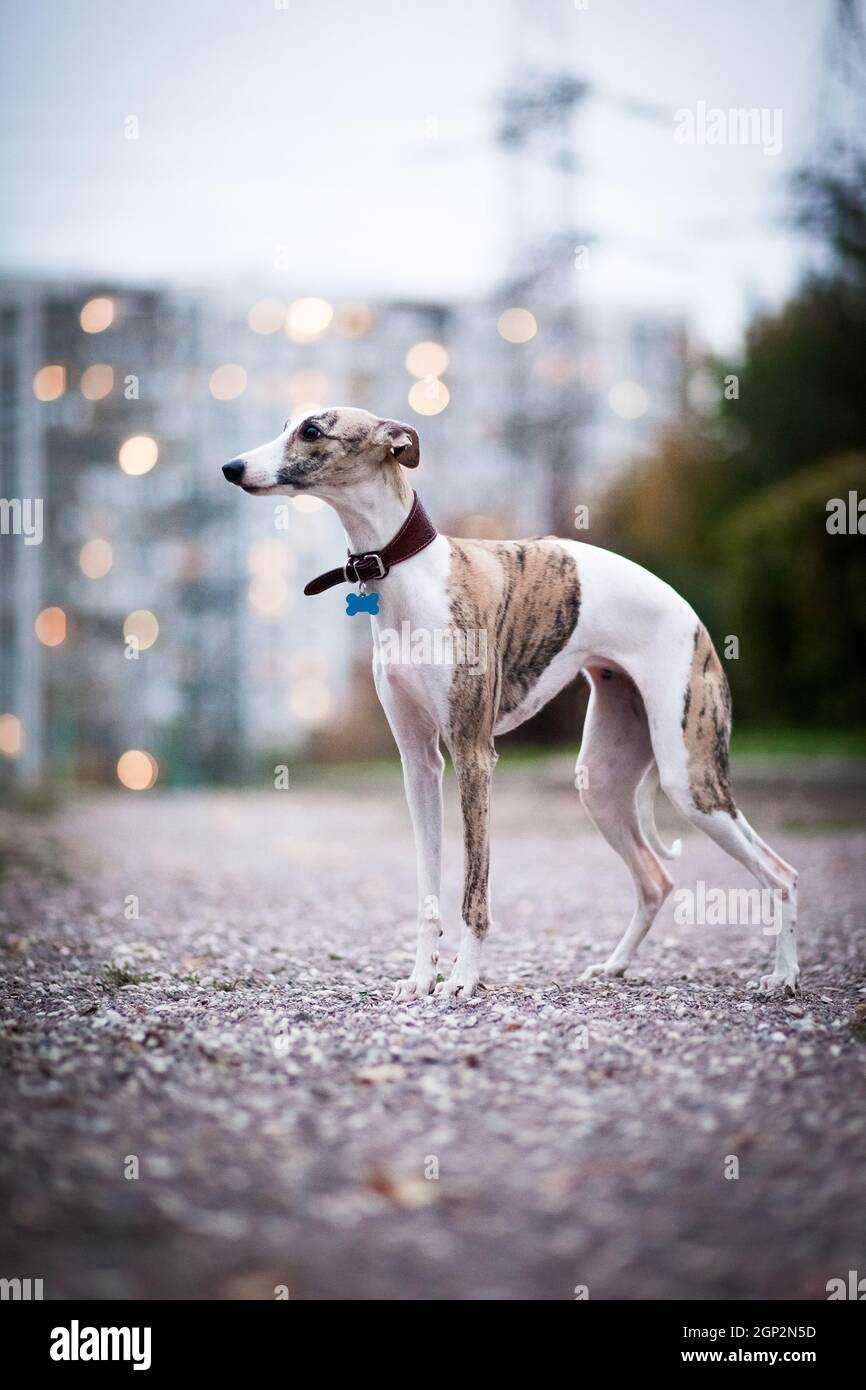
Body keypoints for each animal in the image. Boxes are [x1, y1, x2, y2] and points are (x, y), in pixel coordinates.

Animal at [223, 405, 800, 1006]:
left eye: (312, 431)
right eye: (286, 425)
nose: (230, 468)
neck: (410, 574)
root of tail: (691, 614)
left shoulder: (474, 755)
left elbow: (473, 889)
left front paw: (462, 979)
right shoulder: (419, 764)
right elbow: (428, 887)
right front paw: (420, 978)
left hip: (690, 776)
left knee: (780, 873)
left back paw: (782, 976)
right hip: (601, 780)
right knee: (655, 880)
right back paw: (614, 966)